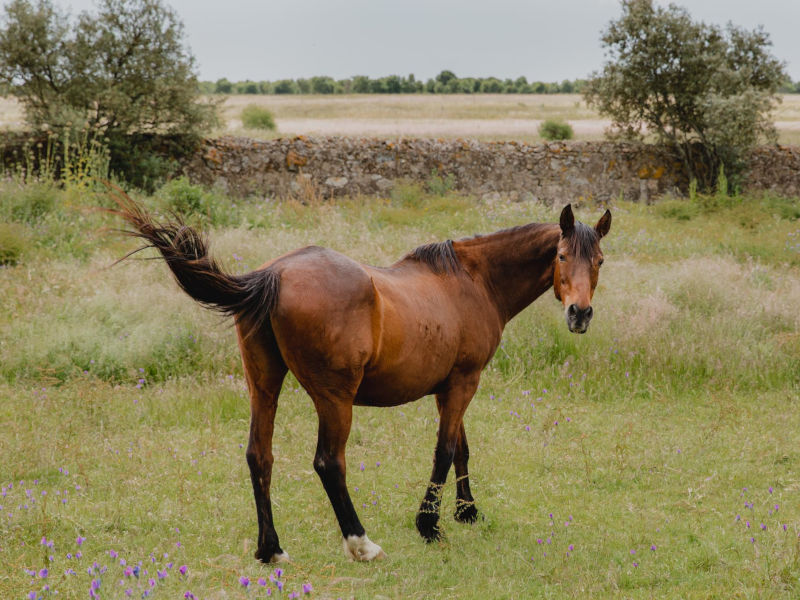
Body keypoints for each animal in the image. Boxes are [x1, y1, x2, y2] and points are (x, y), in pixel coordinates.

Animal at [112, 189, 611, 563]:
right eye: (561, 255)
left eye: (600, 260)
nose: (580, 314)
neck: (473, 280)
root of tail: (272, 276)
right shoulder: (464, 382)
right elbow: (446, 451)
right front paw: (429, 524)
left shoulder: (450, 385)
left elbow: (462, 448)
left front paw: (466, 512)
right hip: (335, 399)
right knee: (329, 463)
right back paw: (361, 543)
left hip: (264, 385)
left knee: (259, 456)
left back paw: (270, 549)